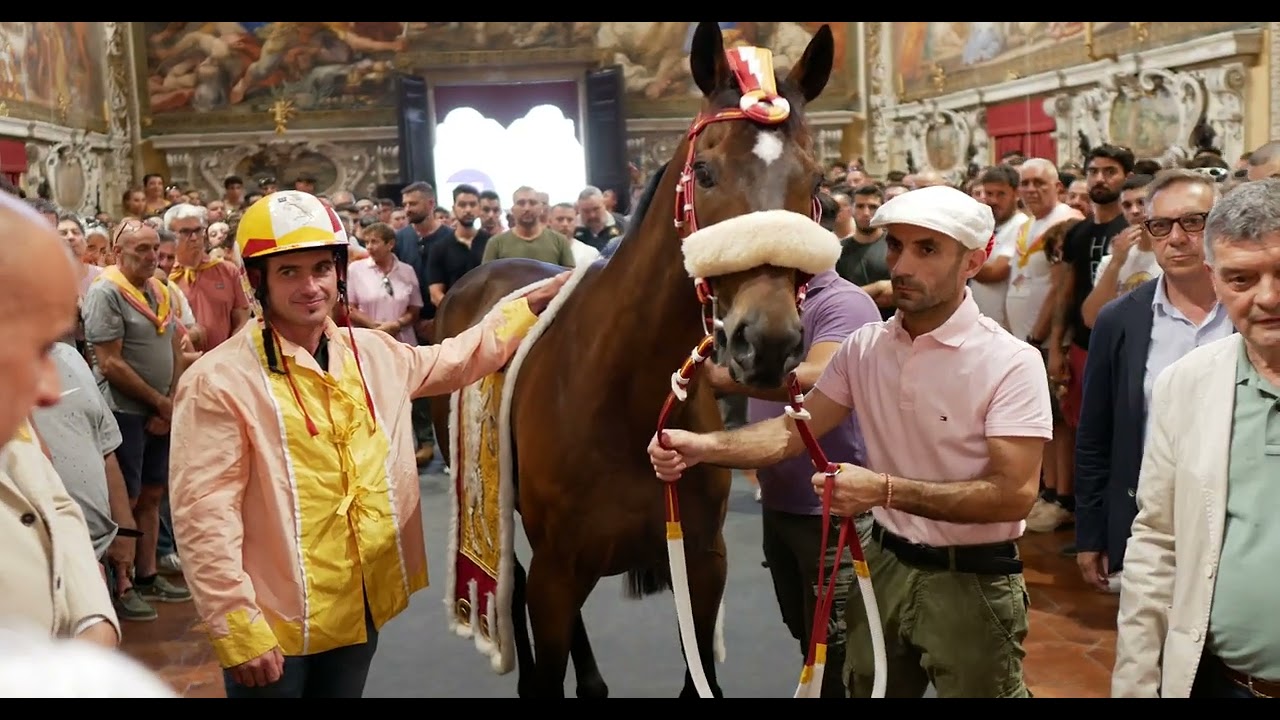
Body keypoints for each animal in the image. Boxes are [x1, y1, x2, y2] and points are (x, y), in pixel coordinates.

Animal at [429, 21, 835, 698]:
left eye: (817, 180)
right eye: (706, 171)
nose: (768, 340)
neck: (623, 395)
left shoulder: (702, 561)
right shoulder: (557, 571)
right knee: (514, 588)